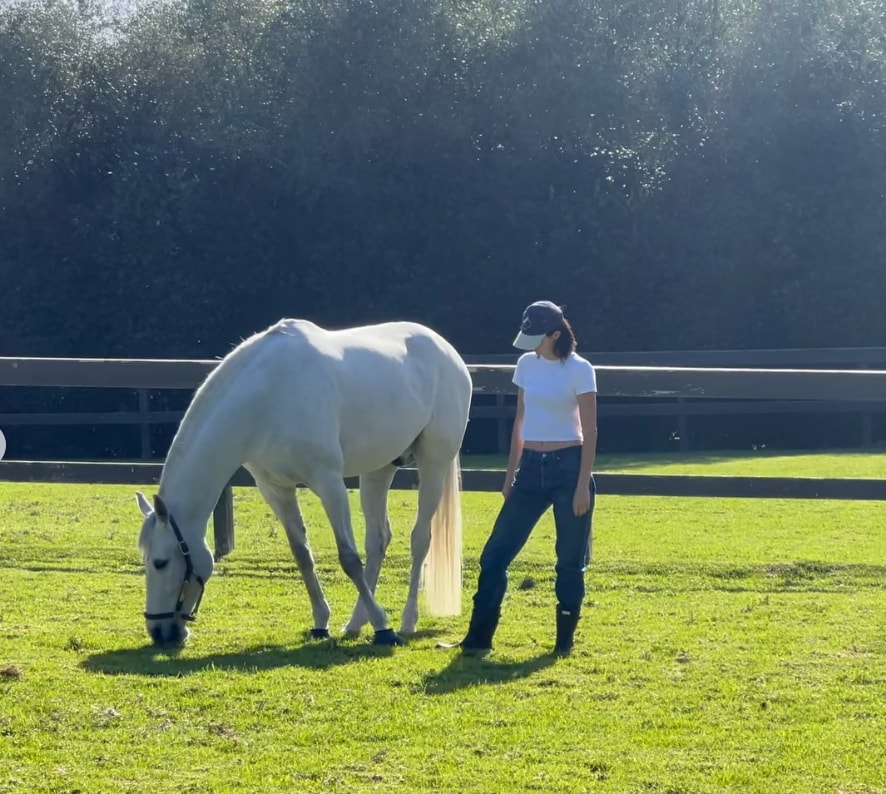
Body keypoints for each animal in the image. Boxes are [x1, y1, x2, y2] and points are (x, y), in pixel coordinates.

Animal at [135, 318, 472, 646]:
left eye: (161, 562)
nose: (160, 632)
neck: (269, 394)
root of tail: (447, 351)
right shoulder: (276, 489)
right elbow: (302, 554)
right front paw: (322, 623)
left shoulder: (328, 481)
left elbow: (349, 558)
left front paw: (383, 629)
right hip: (379, 470)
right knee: (378, 541)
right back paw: (355, 623)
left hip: (434, 463)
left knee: (420, 540)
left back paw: (405, 621)